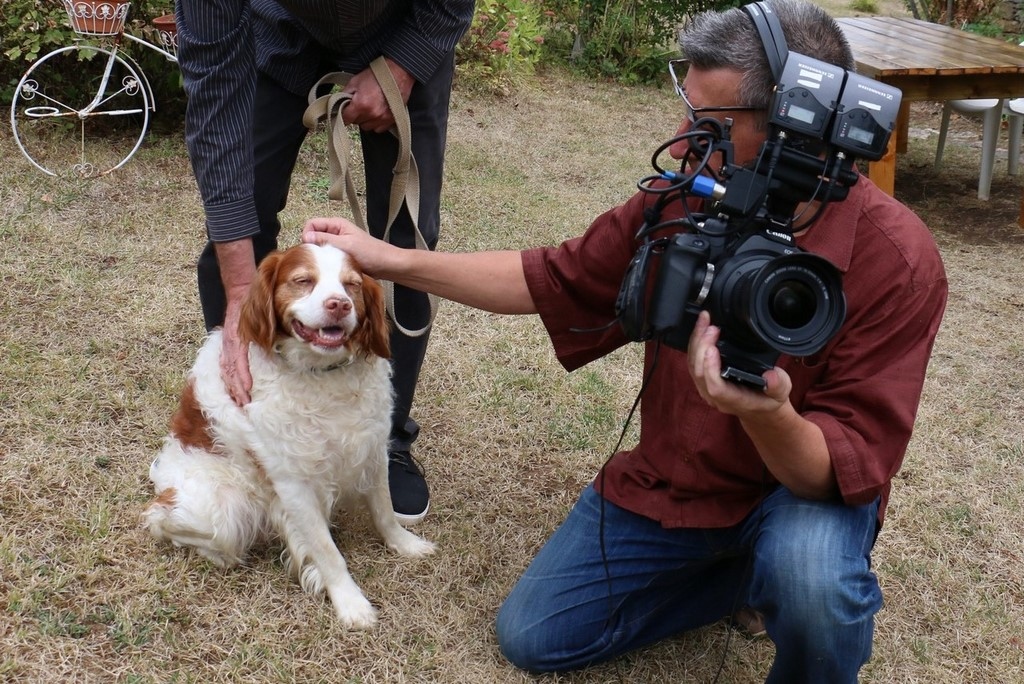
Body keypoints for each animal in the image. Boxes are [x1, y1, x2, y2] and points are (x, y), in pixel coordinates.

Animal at [143, 242, 432, 626]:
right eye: (303, 280)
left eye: (352, 285)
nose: (339, 304)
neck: (320, 375)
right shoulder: (293, 484)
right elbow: (327, 552)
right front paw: (350, 603)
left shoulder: (372, 449)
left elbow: (384, 510)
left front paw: (405, 544)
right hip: (223, 511)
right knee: (159, 518)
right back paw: (219, 554)